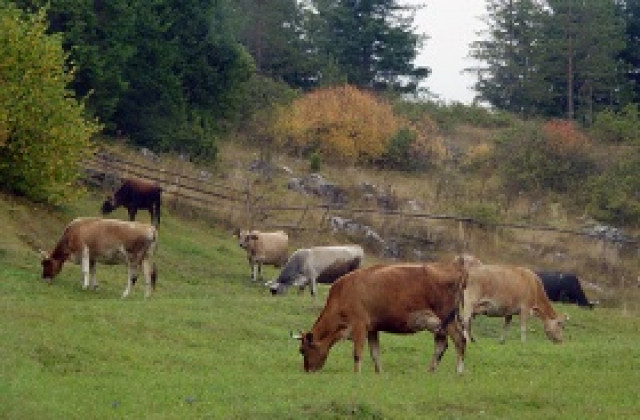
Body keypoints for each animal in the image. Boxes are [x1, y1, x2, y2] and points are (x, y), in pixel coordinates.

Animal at [298, 260, 468, 374]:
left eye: (302, 350)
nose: (307, 371)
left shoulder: (359, 326)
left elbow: (357, 353)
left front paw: (356, 374)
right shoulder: (372, 329)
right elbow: (375, 353)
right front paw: (379, 373)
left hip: (448, 318)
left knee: (460, 339)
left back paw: (459, 371)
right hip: (439, 324)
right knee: (441, 344)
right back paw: (430, 370)